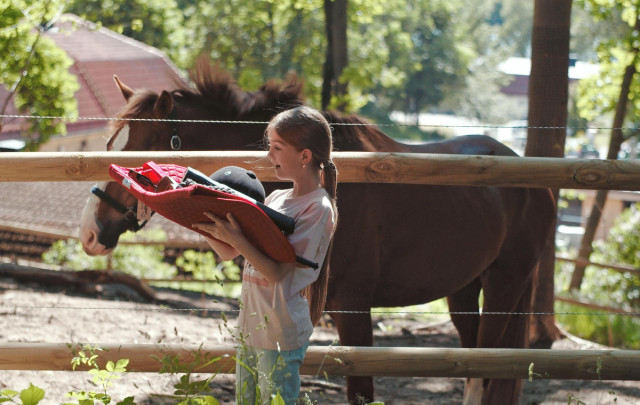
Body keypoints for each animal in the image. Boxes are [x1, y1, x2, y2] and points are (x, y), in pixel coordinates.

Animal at [77, 60, 552, 404]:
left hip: (505, 285)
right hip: (464, 290)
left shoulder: (355, 309)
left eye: (139, 151)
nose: (89, 233)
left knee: (488, 369)